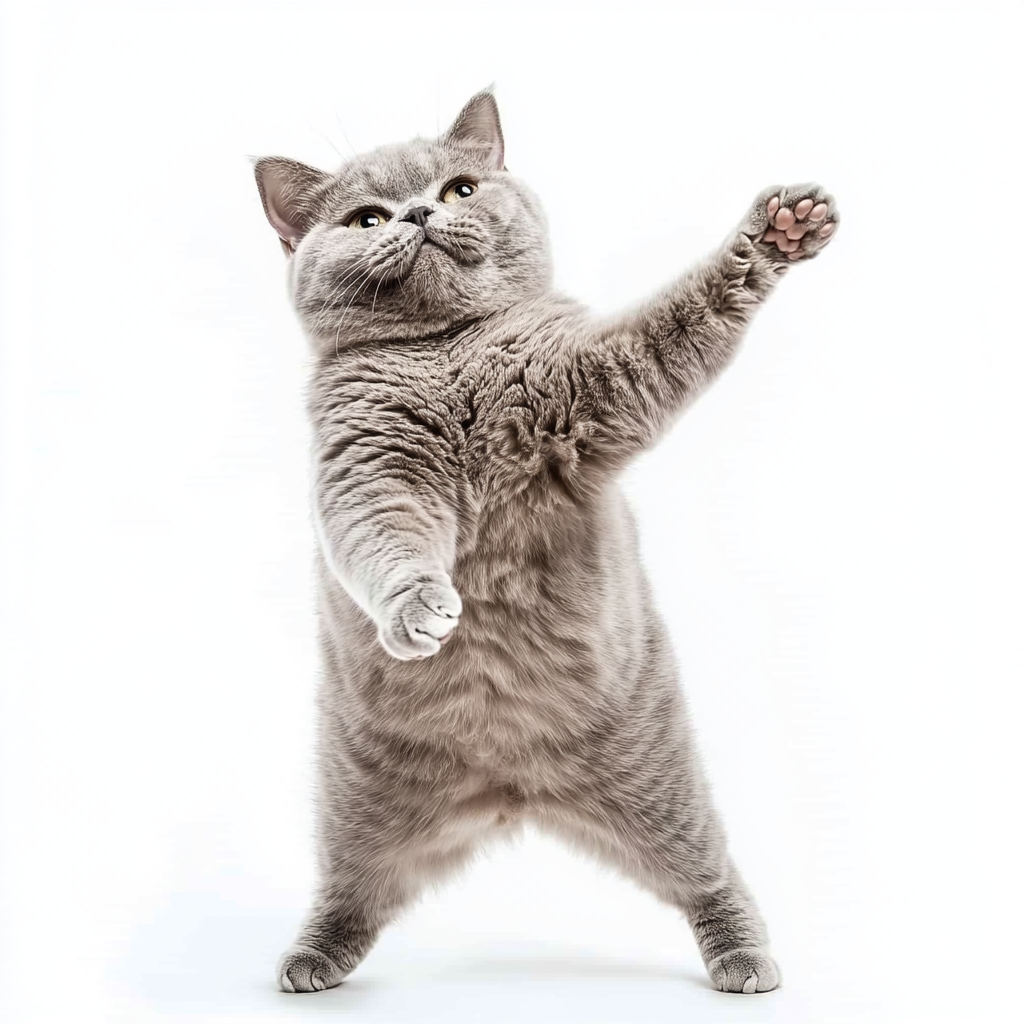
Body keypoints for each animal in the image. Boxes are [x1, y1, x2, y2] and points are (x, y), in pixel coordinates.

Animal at [251, 90, 835, 999]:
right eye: (367, 217)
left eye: (458, 189)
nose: (419, 214)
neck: (448, 352)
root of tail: (510, 786)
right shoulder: (368, 465)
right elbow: (382, 538)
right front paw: (420, 610)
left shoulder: (599, 380)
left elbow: (679, 320)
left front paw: (779, 232)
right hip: (354, 802)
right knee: (355, 890)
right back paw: (311, 959)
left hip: (657, 774)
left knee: (708, 872)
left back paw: (745, 960)